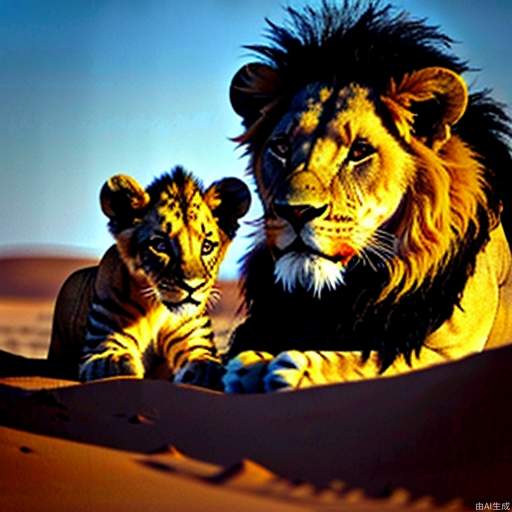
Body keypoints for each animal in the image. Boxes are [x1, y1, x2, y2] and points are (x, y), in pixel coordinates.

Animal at [223, 2, 512, 392]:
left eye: (359, 152)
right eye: (281, 148)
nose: (294, 212)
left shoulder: (450, 351)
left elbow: (373, 360)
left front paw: (289, 367)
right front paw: (243, 363)